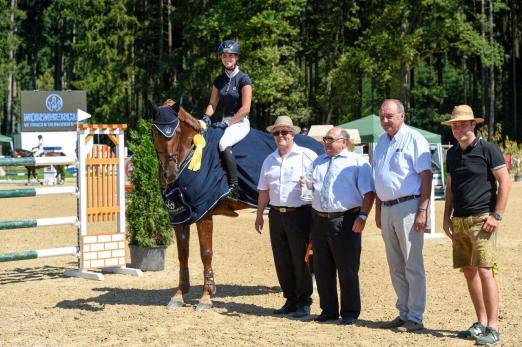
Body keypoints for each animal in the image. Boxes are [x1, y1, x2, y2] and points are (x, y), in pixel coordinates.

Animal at [150, 99, 250, 312]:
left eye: (177, 132)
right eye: (155, 132)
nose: (170, 174)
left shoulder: (204, 212)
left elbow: (206, 253)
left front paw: (206, 297)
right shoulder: (180, 216)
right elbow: (182, 254)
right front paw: (179, 295)